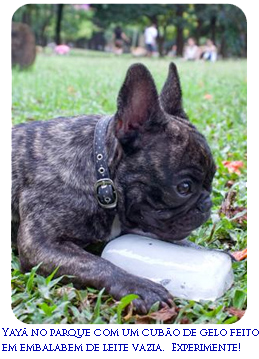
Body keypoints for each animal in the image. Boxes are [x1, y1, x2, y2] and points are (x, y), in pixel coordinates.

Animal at [11, 63, 215, 314]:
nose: (207, 203)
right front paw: (139, 287)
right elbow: (98, 264)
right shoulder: (39, 245)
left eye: (213, 177)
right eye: (184, 187)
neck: (100, 172)